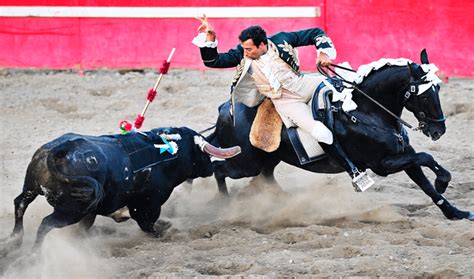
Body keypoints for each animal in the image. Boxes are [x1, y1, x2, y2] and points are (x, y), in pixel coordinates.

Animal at [2, 127, 241, 252]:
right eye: (202, 154)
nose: (211, 167)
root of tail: (60, 150)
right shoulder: (148, 205)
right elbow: (148, 225)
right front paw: (167, 231)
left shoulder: (92, 210)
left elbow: (85, 228)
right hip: (70, 210)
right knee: (45, 223)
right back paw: (35, 252)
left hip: (32, 187)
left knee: (20, 203)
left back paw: (15, 238)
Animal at [207, 49, 474, 221]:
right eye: (426, 95)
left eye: (438, 88)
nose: (438, 130)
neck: (367, 111)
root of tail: (225, 108)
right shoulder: (383, 164)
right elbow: (427, 158)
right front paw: (443, 181)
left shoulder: (404, 155)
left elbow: (425, 183)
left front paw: (456, 212)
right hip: (245, 162)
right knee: (219, 169)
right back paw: (224, 207)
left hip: (268, 159)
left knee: (265, 179)